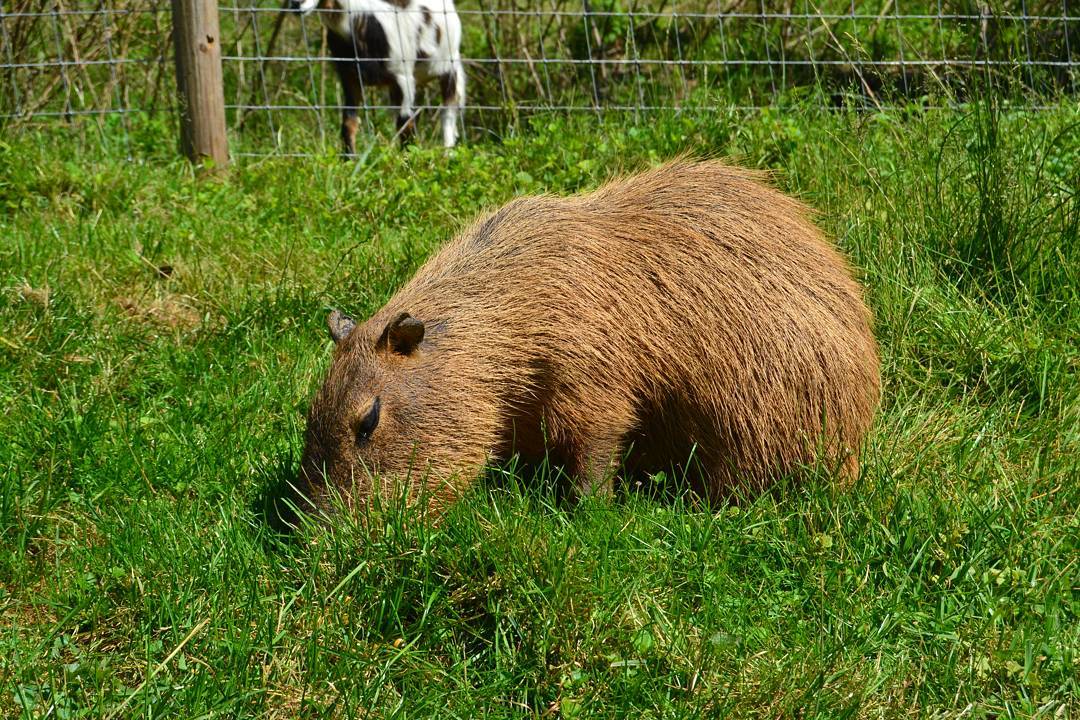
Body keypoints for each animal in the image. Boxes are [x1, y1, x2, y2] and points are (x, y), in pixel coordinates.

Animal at [291, 0, 464, 151]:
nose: (296, 4)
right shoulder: (350, 77)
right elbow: (349, 123)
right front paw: (349, 162)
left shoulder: (403, 76)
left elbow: (405, 123)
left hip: (449, 67)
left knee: (448, 111)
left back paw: (447, 153)